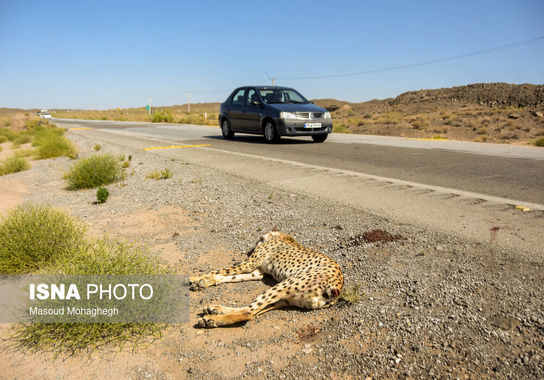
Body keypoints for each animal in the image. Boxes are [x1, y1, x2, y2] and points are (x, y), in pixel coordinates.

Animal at [189, 230, 342, 328]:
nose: (257, 239)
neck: (283, 237)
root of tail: (337, 291)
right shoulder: (258, 273)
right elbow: (232, 276)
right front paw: (204, 281)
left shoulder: (249, 264)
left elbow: (221, 270)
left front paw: (196, 277)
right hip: (286, 299)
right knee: (253, 310)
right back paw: (215, 310)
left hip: (284, 285)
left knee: (249, 312)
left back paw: (211, 319)